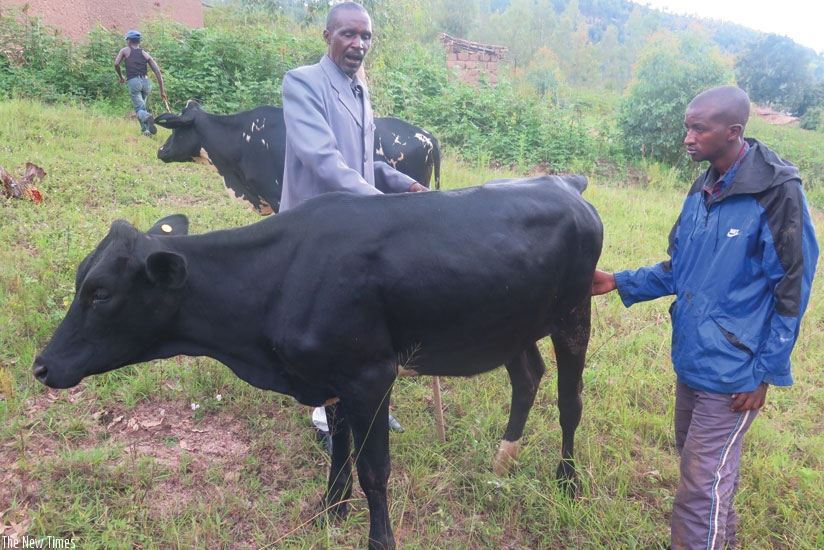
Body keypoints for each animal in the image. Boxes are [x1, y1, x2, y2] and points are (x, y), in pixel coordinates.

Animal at [33, 175, 603, 550]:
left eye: (100, 293)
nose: (40, 366)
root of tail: (563, 183)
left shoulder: (371, 375)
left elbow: (374, 468)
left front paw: (378, 538)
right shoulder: (331, 375)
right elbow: (340, 446)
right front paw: (331, 509)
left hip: (574, 312)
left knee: (569, 400)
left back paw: (567, 482)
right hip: (512, 324)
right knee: (527, 377)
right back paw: (501, 463)